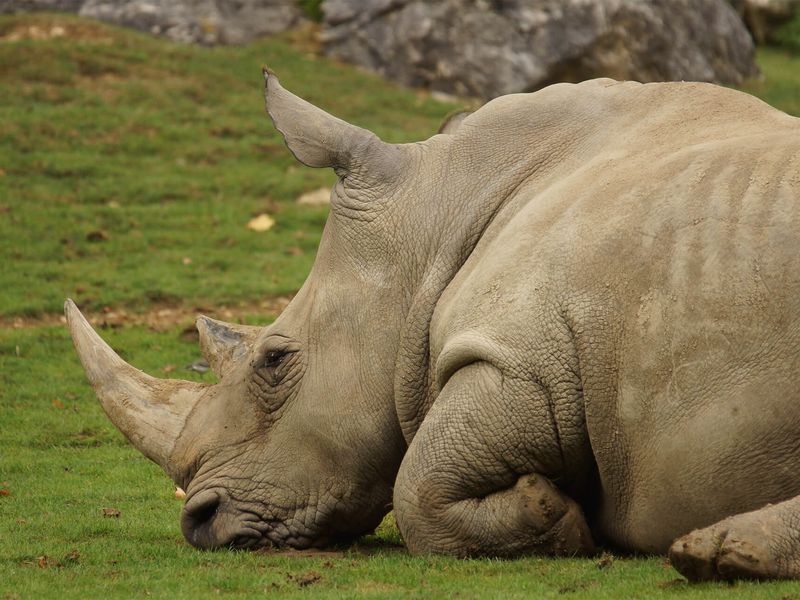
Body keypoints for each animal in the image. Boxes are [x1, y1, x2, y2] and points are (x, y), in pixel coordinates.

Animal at [64, 70, 800, 580]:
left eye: (274, 359)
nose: (199, 522)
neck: (441, 214)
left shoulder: (525, 359)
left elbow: (416, 484)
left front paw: (547, 511)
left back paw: (715, 554)